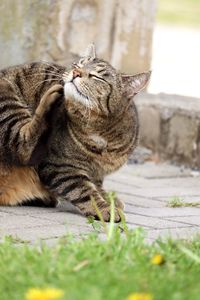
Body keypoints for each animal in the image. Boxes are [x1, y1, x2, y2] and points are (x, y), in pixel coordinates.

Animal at [0, 45, 150, 223]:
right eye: (78, 64)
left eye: (97, 76)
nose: (76, 72)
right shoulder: (60, 166)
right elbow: (85, 191)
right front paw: (105, 208)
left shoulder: (96, 173)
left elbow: (97, 186)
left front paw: (109, 199)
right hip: (5, 96)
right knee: (24, 148)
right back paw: (50, 99)